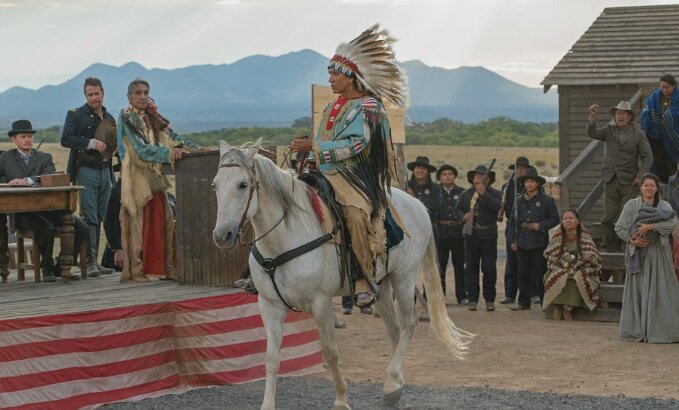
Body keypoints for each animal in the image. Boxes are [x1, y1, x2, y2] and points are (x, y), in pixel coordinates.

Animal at [214, 139, 472, 408]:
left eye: (243, 184)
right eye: (215, 184)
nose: (222, 235)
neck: (284, 238)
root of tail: (417, 203)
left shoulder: (320, 303)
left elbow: (330, 352)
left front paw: (341, 400)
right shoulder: (270, 305)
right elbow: (271, 357)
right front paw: (267, 404)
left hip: (404, 277)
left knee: (408, 323)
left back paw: (391, 383)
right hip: (381, 286)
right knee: (395, 330)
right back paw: (396, 385)